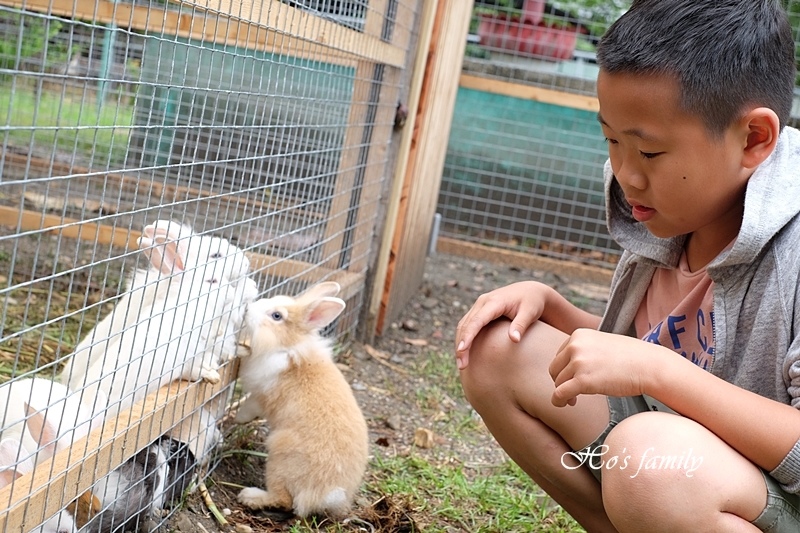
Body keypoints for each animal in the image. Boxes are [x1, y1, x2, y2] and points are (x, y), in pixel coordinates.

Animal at [231, 282, 368, 520]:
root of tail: (327, 493)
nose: (248, 309)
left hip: (279, 459)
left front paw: (238, 419)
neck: (286, 347)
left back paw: (250, 496)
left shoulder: (261, 395)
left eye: (277, 316)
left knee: (284, 500)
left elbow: (250, 408)